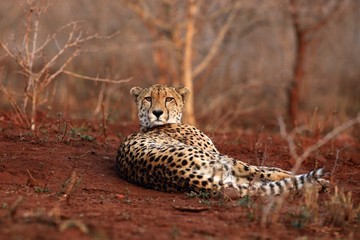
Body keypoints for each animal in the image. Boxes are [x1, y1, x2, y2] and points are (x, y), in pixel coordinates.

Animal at [114, 84, 326, 197]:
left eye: (169, 99)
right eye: (148, 98)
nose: (157, 113)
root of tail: (176, 173)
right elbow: (270, 169)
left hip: (225, 174)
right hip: (225, 161)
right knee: (262, 175)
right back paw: (317, 183)